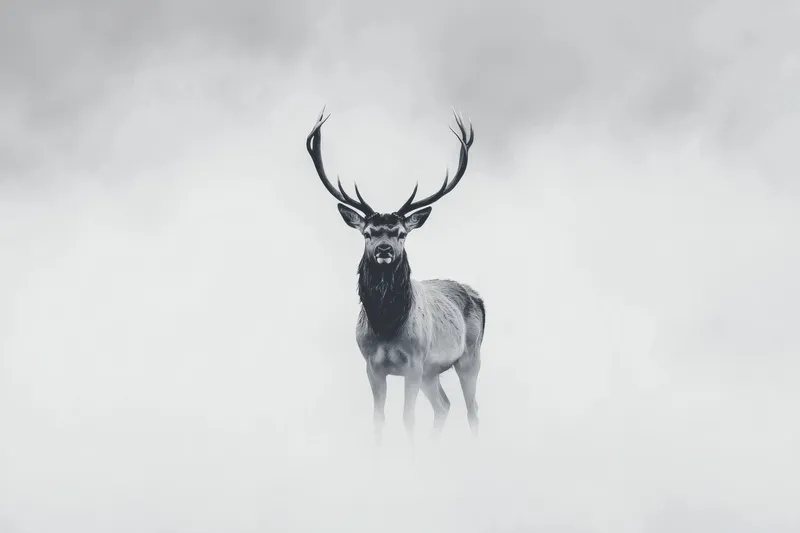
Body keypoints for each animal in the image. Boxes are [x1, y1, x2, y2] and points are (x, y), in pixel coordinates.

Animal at [305, 108, 486, 441]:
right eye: (368, 233)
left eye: (402, 233)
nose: (385, 249)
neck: (387, 327)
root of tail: (476, 296)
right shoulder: (371, 365)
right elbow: (379, 418)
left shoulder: (414, 362)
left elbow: (408, 418)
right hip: (432, 372)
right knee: (443, 405)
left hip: (470, 356)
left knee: (472, 409)